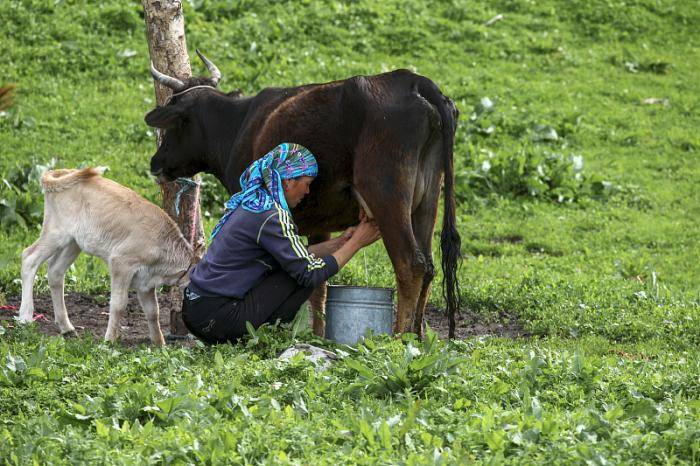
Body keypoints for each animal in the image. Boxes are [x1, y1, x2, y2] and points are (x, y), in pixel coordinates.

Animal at [19, 169, 200, 344]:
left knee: (55, 271)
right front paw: (109, 341)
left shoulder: (145, 281)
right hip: (56, 232)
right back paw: (25, 317)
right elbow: (118, 304)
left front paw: (159, 343)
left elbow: (152, 311)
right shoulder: (121, 262)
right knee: (29, 257)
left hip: (74, 242)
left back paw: (67, 328)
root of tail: (63, 171)